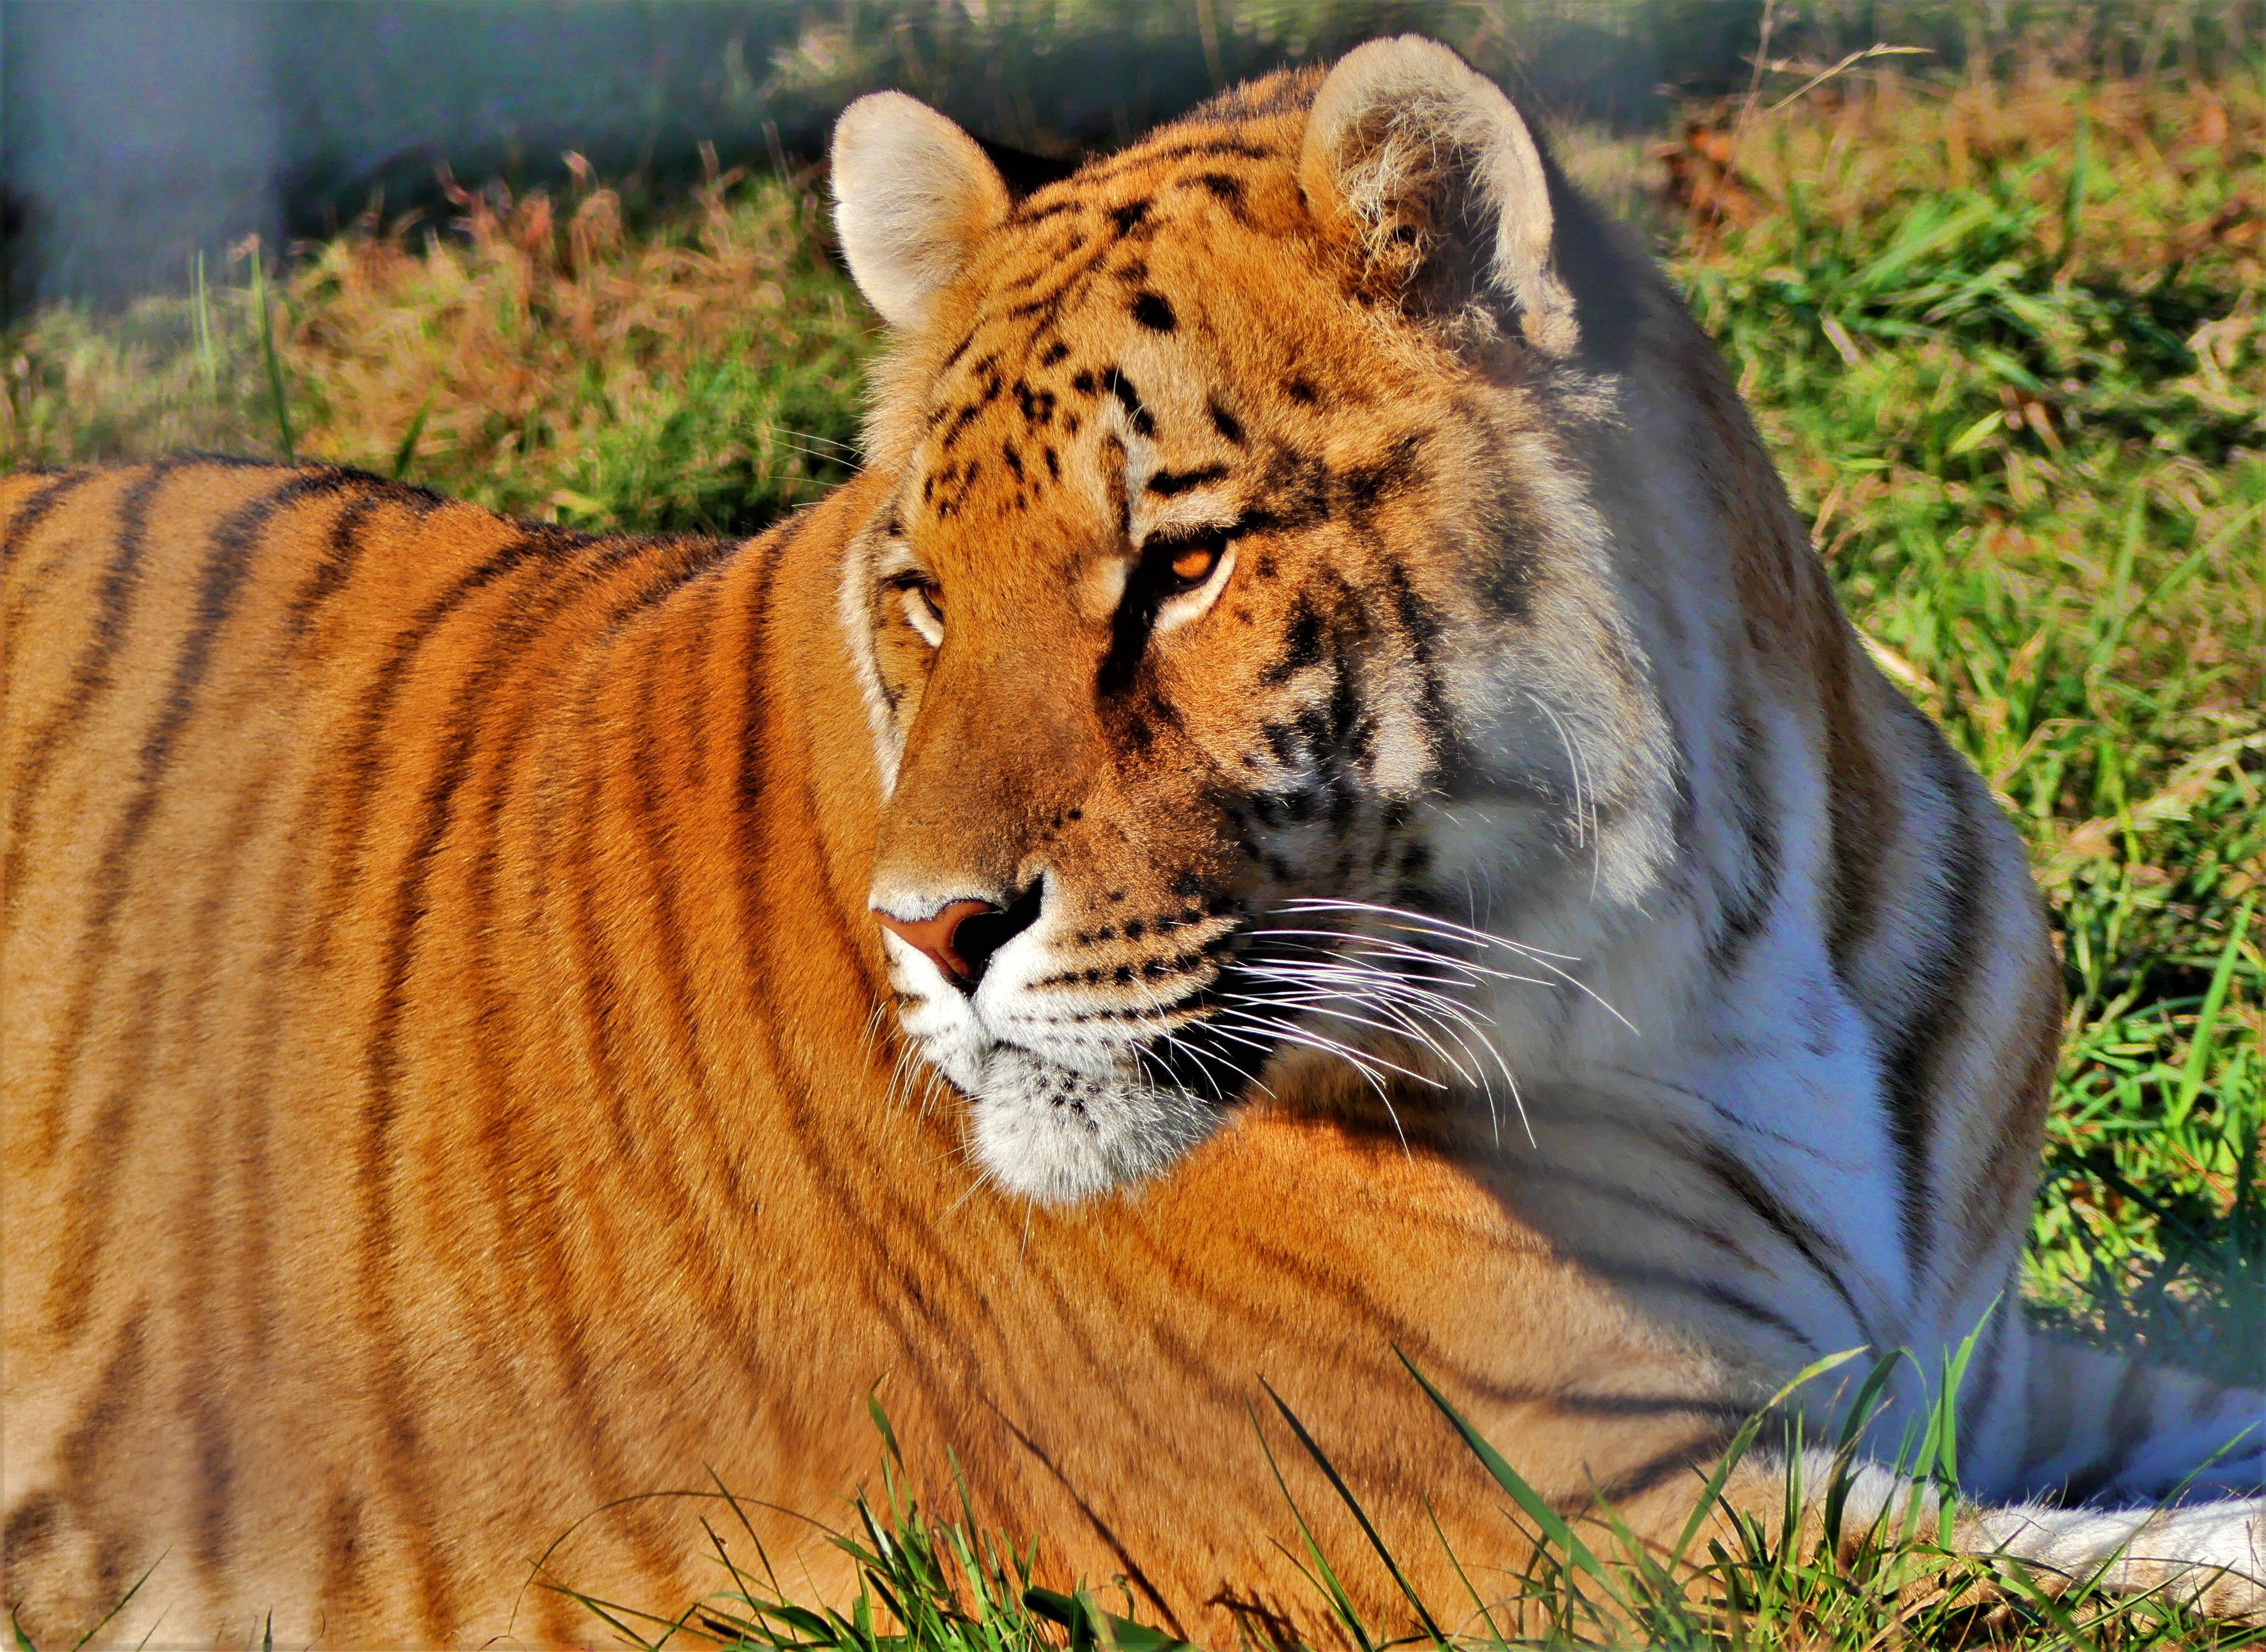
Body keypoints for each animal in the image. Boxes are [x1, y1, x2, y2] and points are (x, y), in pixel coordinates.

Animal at [4, 35, 2261, 1650]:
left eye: (1178, 567)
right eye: (924, 595)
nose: (926, 929)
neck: (1739, 938)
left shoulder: (1968, 1376)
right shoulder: (1595, 1531)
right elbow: (2117, 1574)